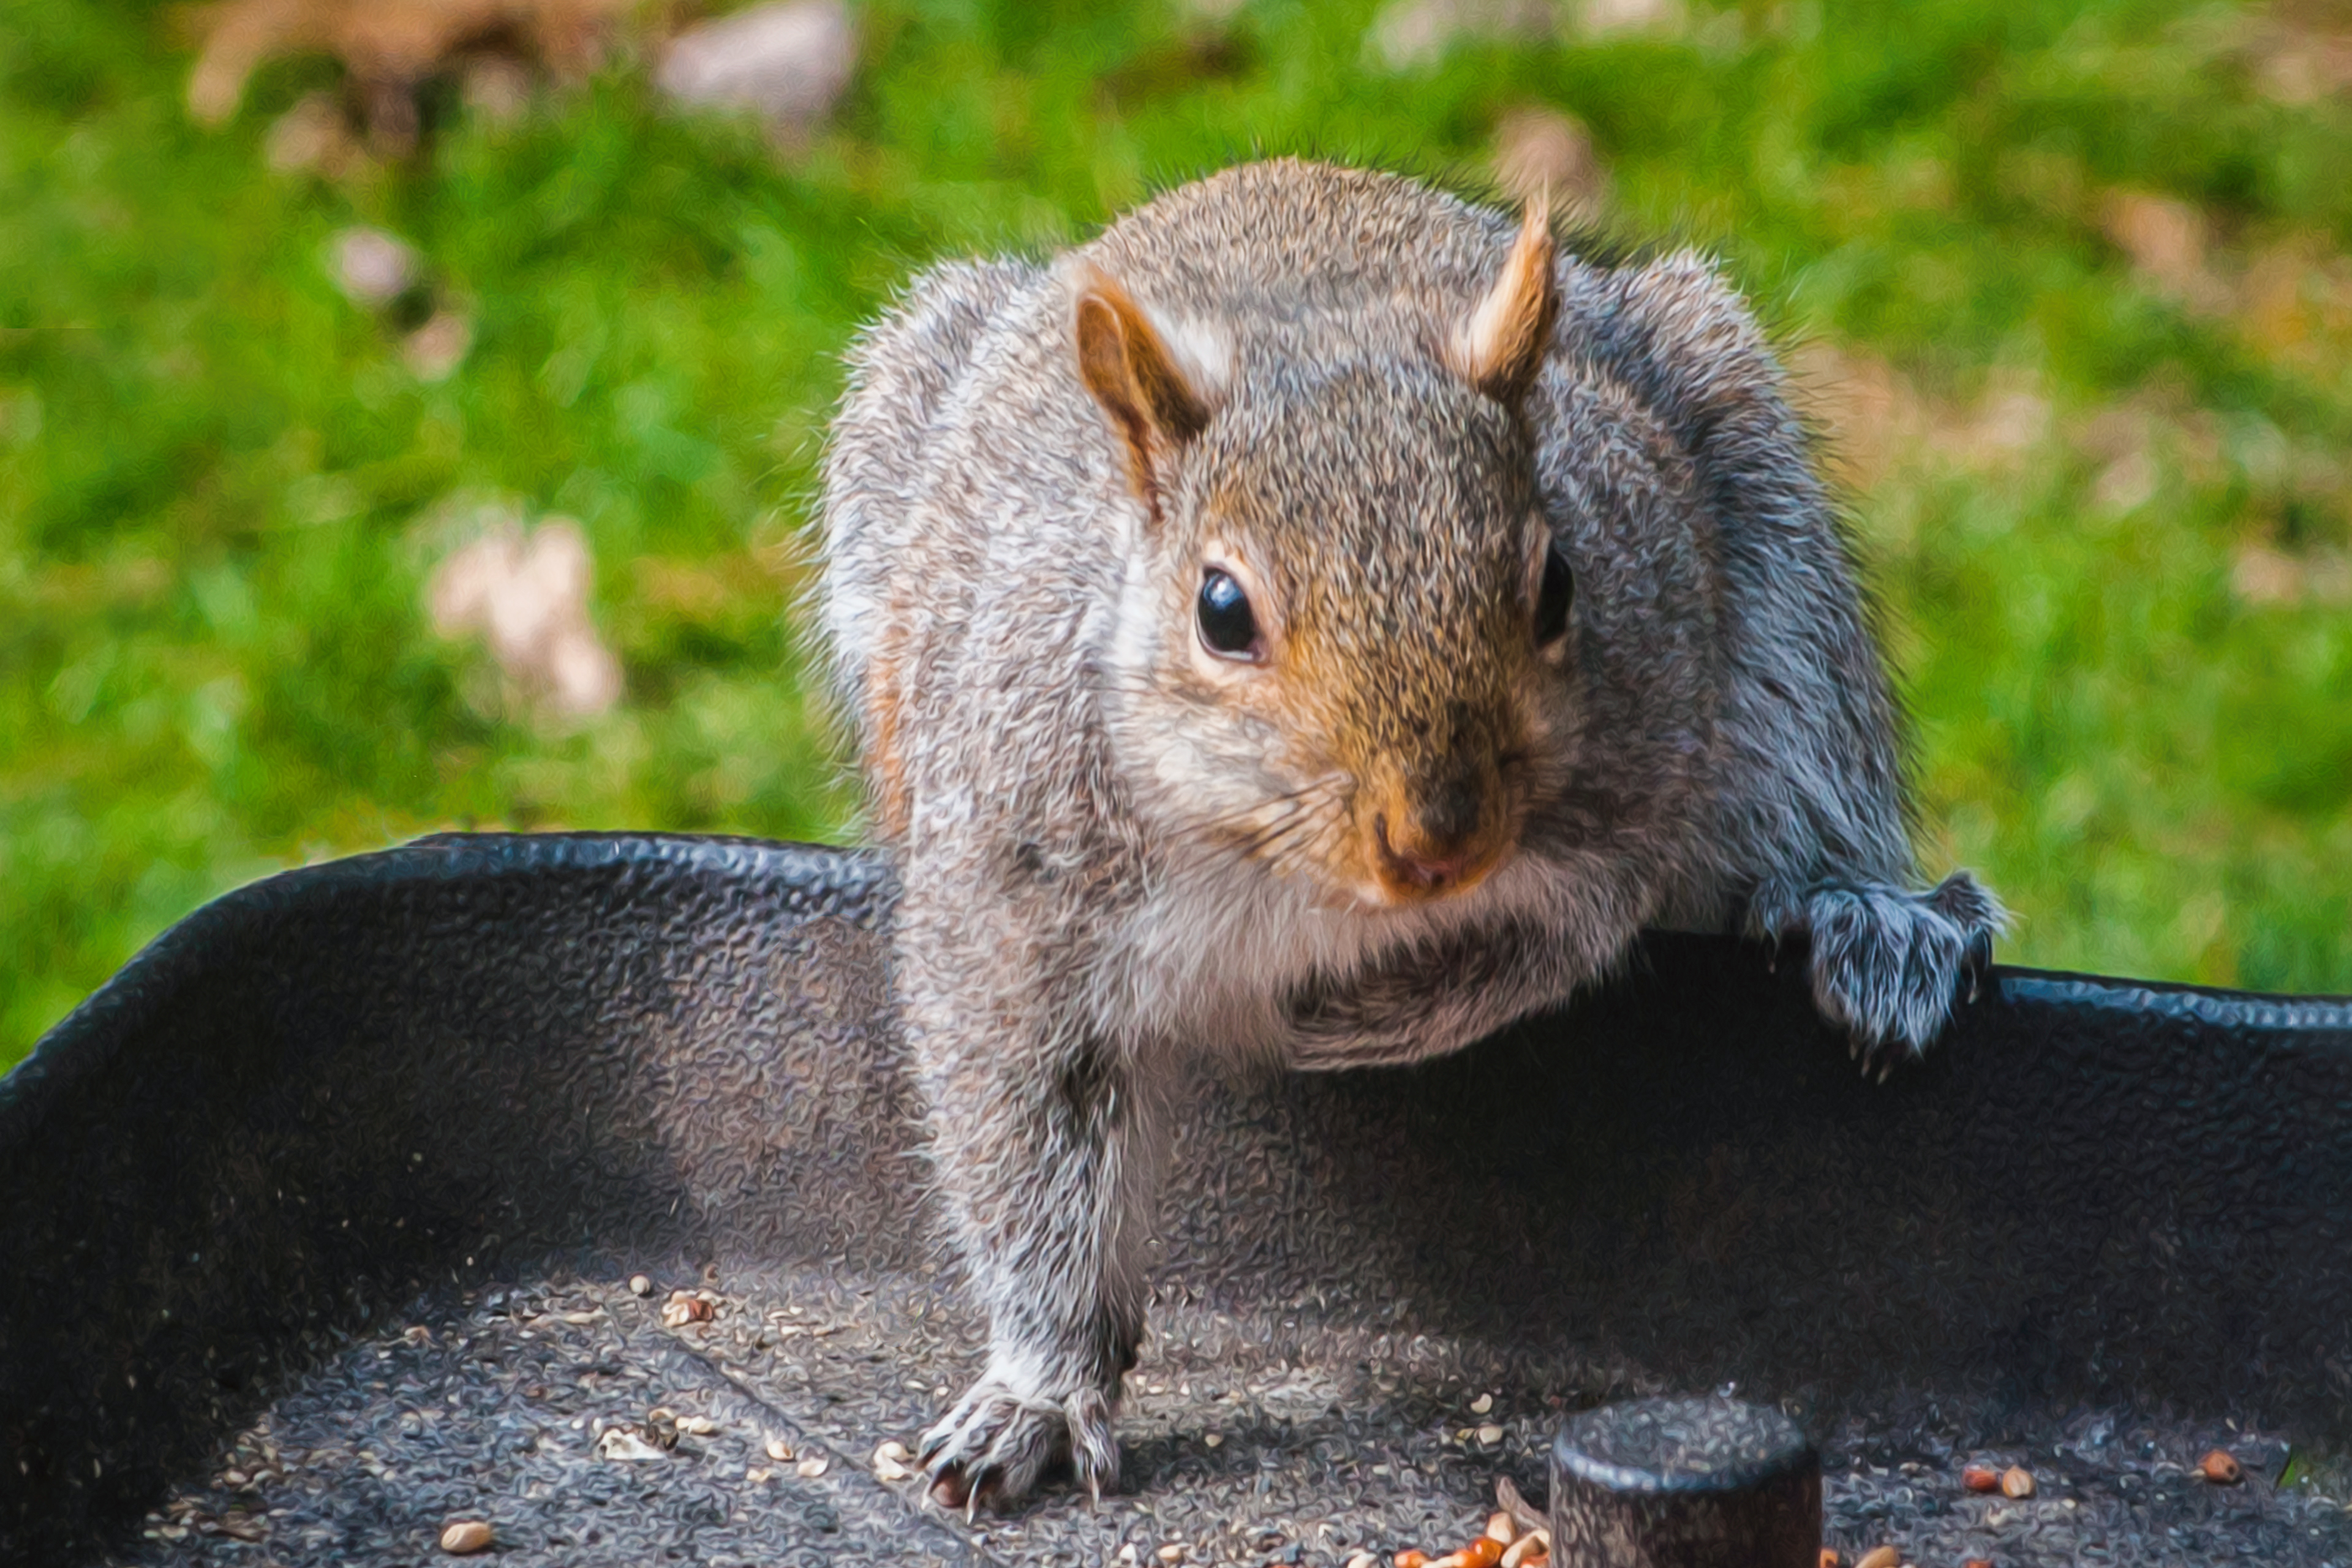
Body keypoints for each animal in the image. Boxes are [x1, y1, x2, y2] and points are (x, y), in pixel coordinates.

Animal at [817, 159, 2002, 1511]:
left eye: (1558, 586)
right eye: (1220, 610)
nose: (1437, 841)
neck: (1287, 867)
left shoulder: (1633, 793)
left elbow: (1550, 952)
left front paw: (1354, 1019)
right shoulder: (1010, 898)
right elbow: (1024, 1138)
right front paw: (1041, 1392)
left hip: (1770, 542)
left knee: (1815, 789)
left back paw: (1871, 920)